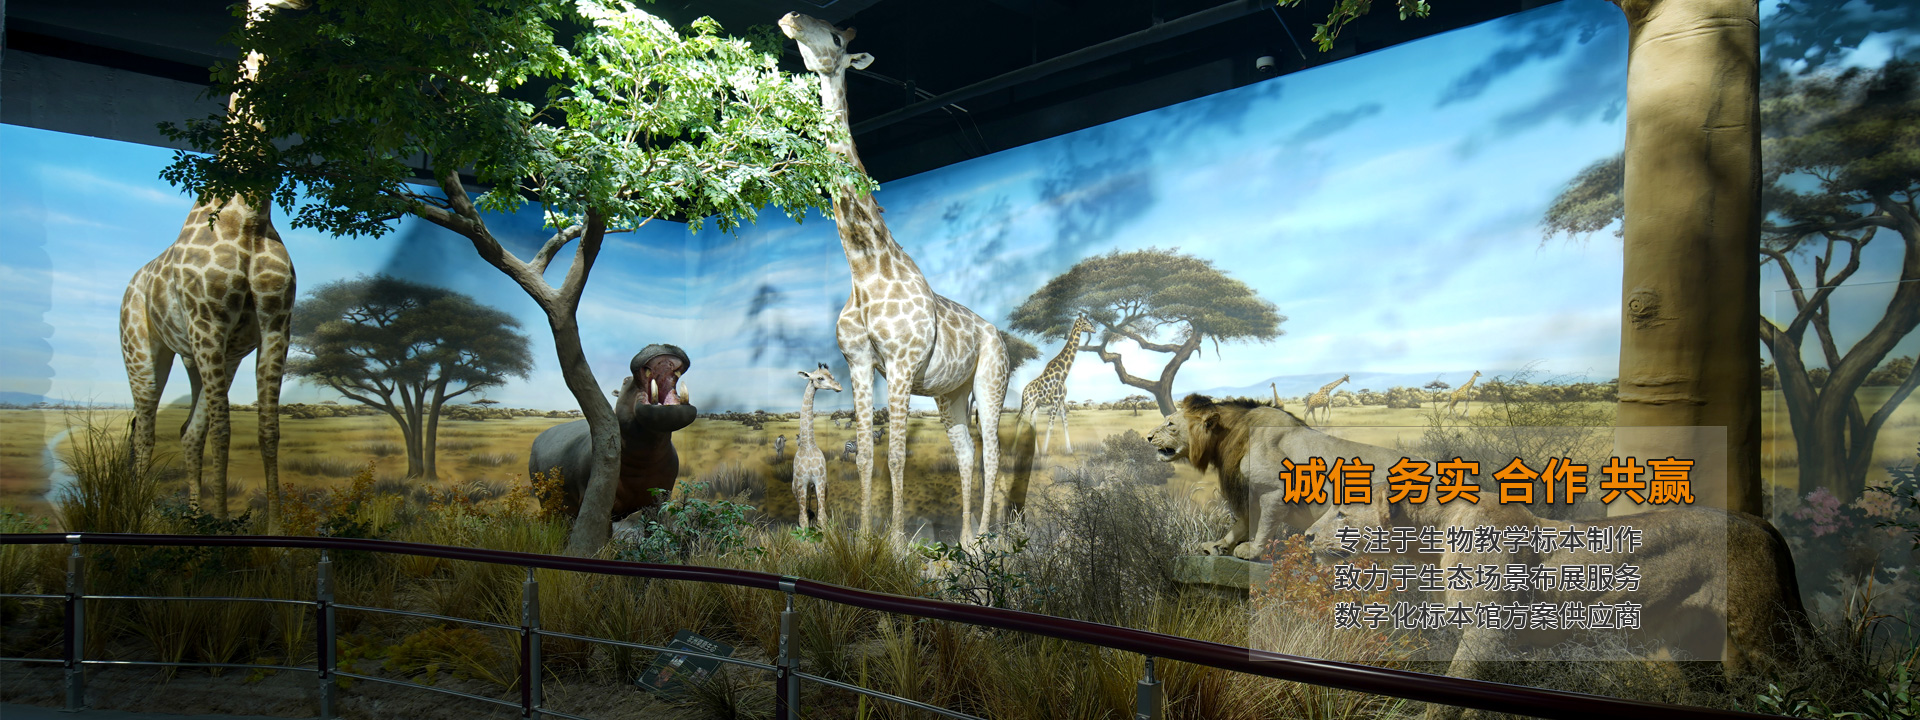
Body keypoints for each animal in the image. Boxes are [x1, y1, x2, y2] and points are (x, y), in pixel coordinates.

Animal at [120, 0, 304, 529]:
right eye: (258, 4)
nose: (297, 6)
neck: (249, 216)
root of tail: (130, 285)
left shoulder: (277, 323)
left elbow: (267, 430)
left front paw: (274, 529)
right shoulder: (209, 321)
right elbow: (225, 430)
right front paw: (223, 527)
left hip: (202, 358)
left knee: (186, 429)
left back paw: (193, 514)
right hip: (146, 349)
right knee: (146, 425)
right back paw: (141, 516)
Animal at [792, 364, 842, 530]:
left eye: (832, 376)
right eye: (820, 378)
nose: (839, 387)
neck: (808, 445)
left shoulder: (820, 480)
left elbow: (822, 518)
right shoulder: (801, 483)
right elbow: (803, 520)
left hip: (823, 486)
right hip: (796, 488)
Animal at [1017, 315, 1095, 455]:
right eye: (1086, 323)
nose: (1094, 329)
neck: (1063, 373)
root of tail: (1024, 392)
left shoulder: (1062, 401)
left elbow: (1065, 423)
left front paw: (1069, 450)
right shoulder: (1056, 400)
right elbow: (1051, 425)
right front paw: (1044, 451)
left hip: (1036, 405)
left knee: (1031, 422)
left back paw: (1035, 453)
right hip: (1028, 404)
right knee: (1020, 421)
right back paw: (1013, 450)